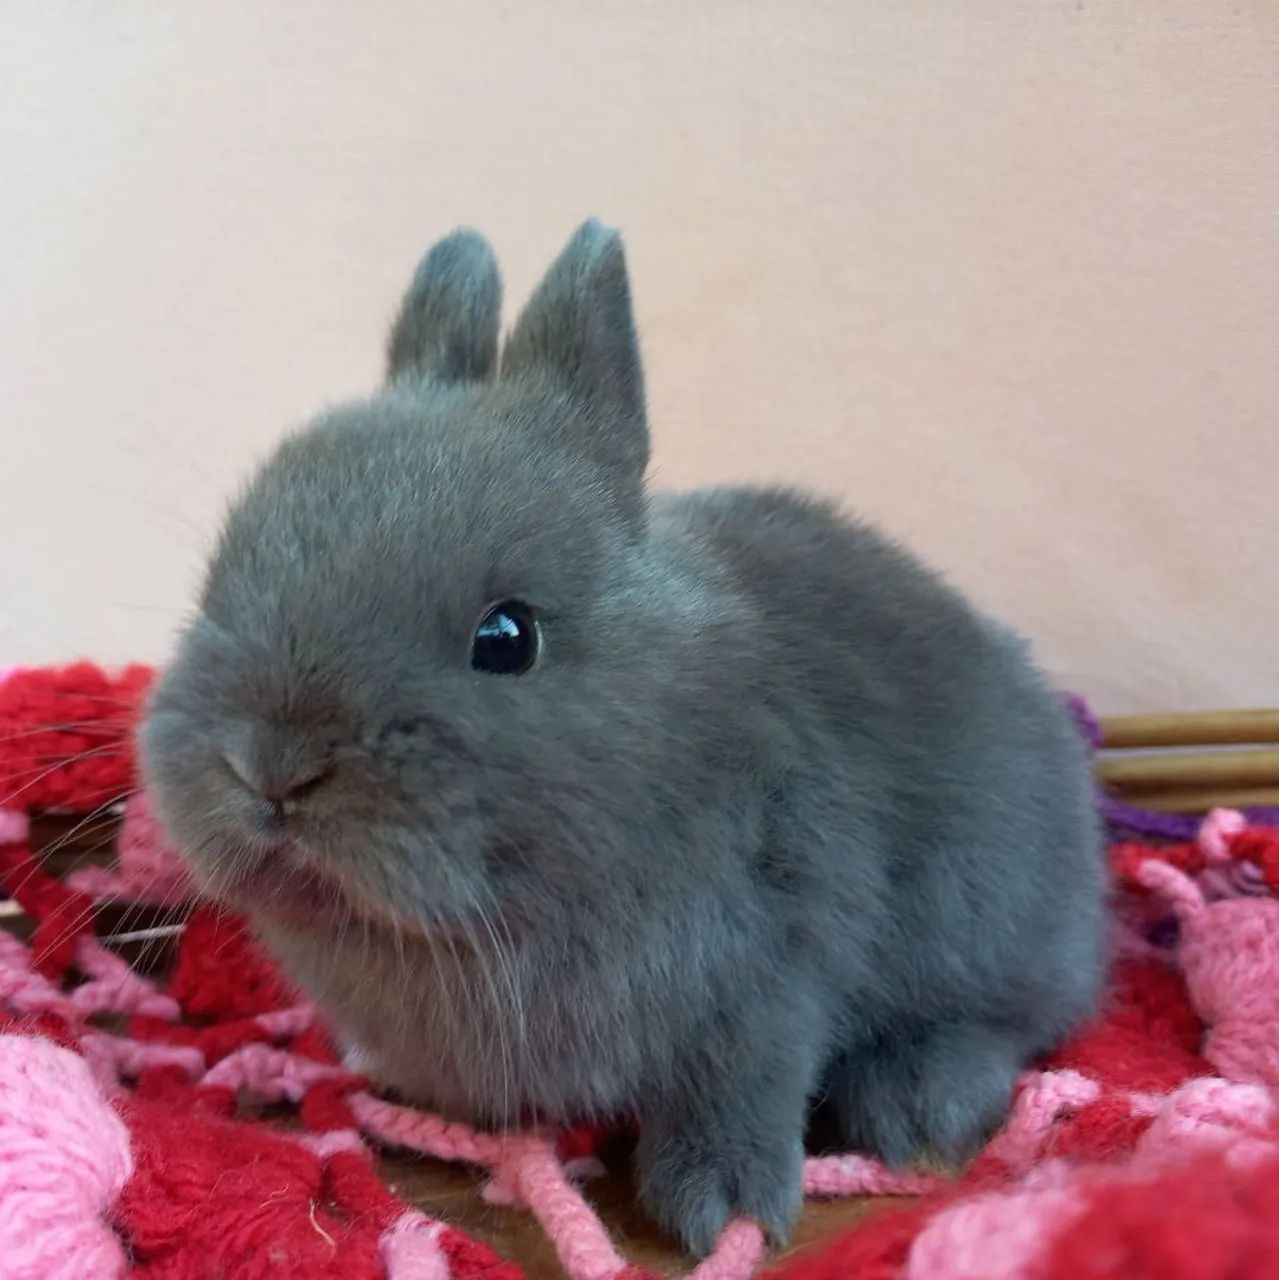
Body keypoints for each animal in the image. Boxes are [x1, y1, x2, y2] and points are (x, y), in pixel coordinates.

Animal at [141, 220, 1106, 1257]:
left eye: (506, 637)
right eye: (220, 578)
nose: (271, 766)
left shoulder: (766, 980)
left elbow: (739, 1087)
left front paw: (720, 1210)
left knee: (1010, 1019)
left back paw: (916, 1110)